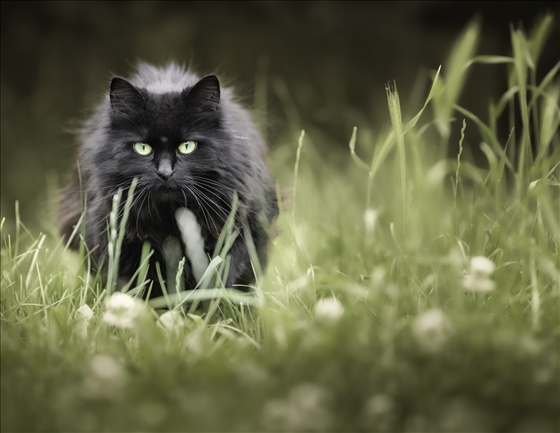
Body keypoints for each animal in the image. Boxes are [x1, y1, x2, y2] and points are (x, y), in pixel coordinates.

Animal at [60, 62, 278, 298]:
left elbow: (226, 275)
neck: (170, 218)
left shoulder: (243, 226)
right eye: (142, 148)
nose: (164, 173)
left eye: (187, 146)